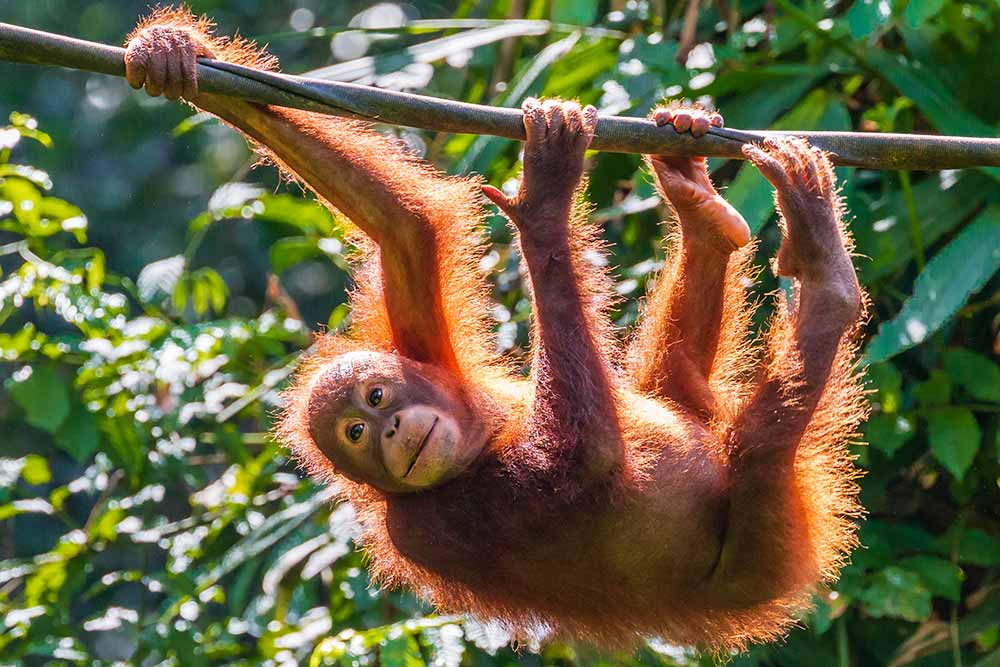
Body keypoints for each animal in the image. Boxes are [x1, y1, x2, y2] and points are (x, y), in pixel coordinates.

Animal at [123, 8, 867, 650]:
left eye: (376, 398)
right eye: (357, 435)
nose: (390, 432)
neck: (481, 434)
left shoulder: (424, 350)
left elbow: (406, 226)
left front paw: (176, 54)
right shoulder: (428, 526)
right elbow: (584, 460)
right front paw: (541, 207)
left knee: (679, 385)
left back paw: (698, 203)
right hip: (768, 551)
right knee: (760, 446)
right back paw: (825, 274)